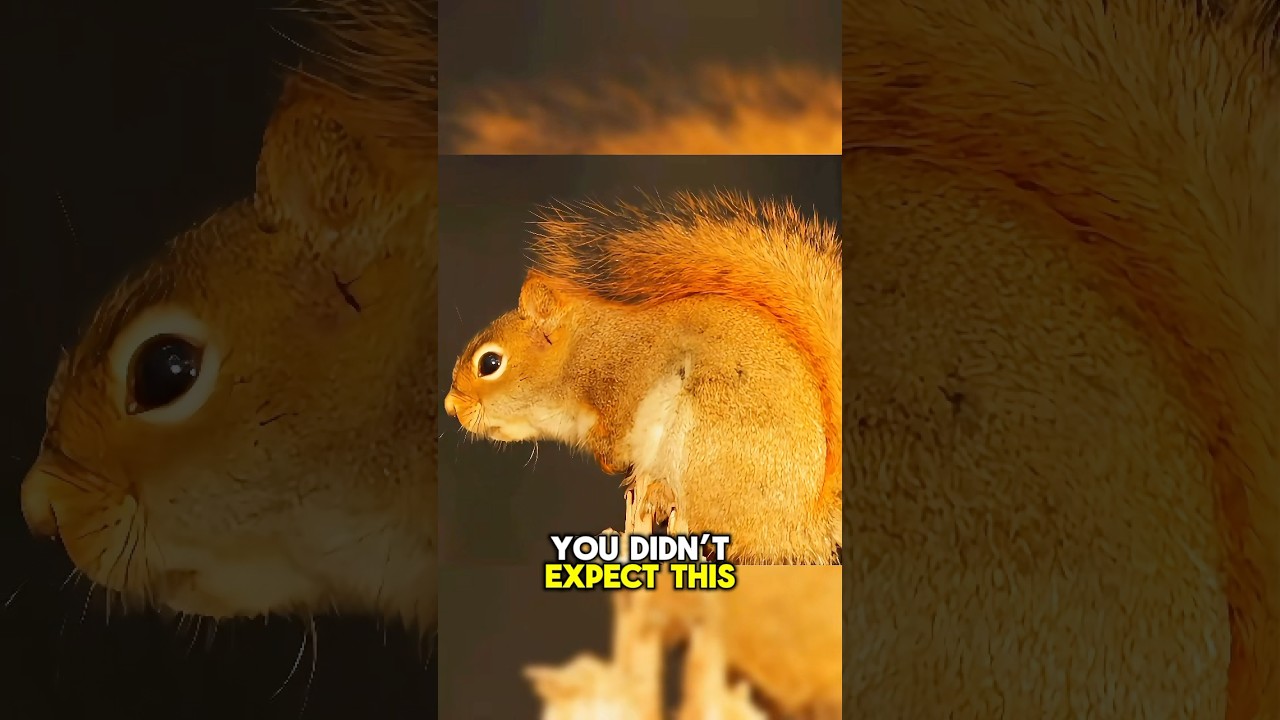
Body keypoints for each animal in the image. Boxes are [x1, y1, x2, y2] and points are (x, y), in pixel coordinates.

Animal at [444, 192, 842, 565]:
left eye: (490, 363)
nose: (451, 407)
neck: (582, 353)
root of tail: (797, 525)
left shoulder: (629, 379)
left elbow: (617, 432)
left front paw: (611, 462)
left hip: (705, 440)